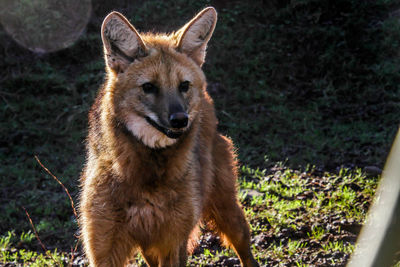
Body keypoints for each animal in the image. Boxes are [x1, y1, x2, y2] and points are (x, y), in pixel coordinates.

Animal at [79, 6, 258, 267]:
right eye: (148, 87)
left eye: (183, 85)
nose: (180, 119)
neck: (146, 175)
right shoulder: (105, 246)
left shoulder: (172, 241)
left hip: (224, 206)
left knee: (244, 245)